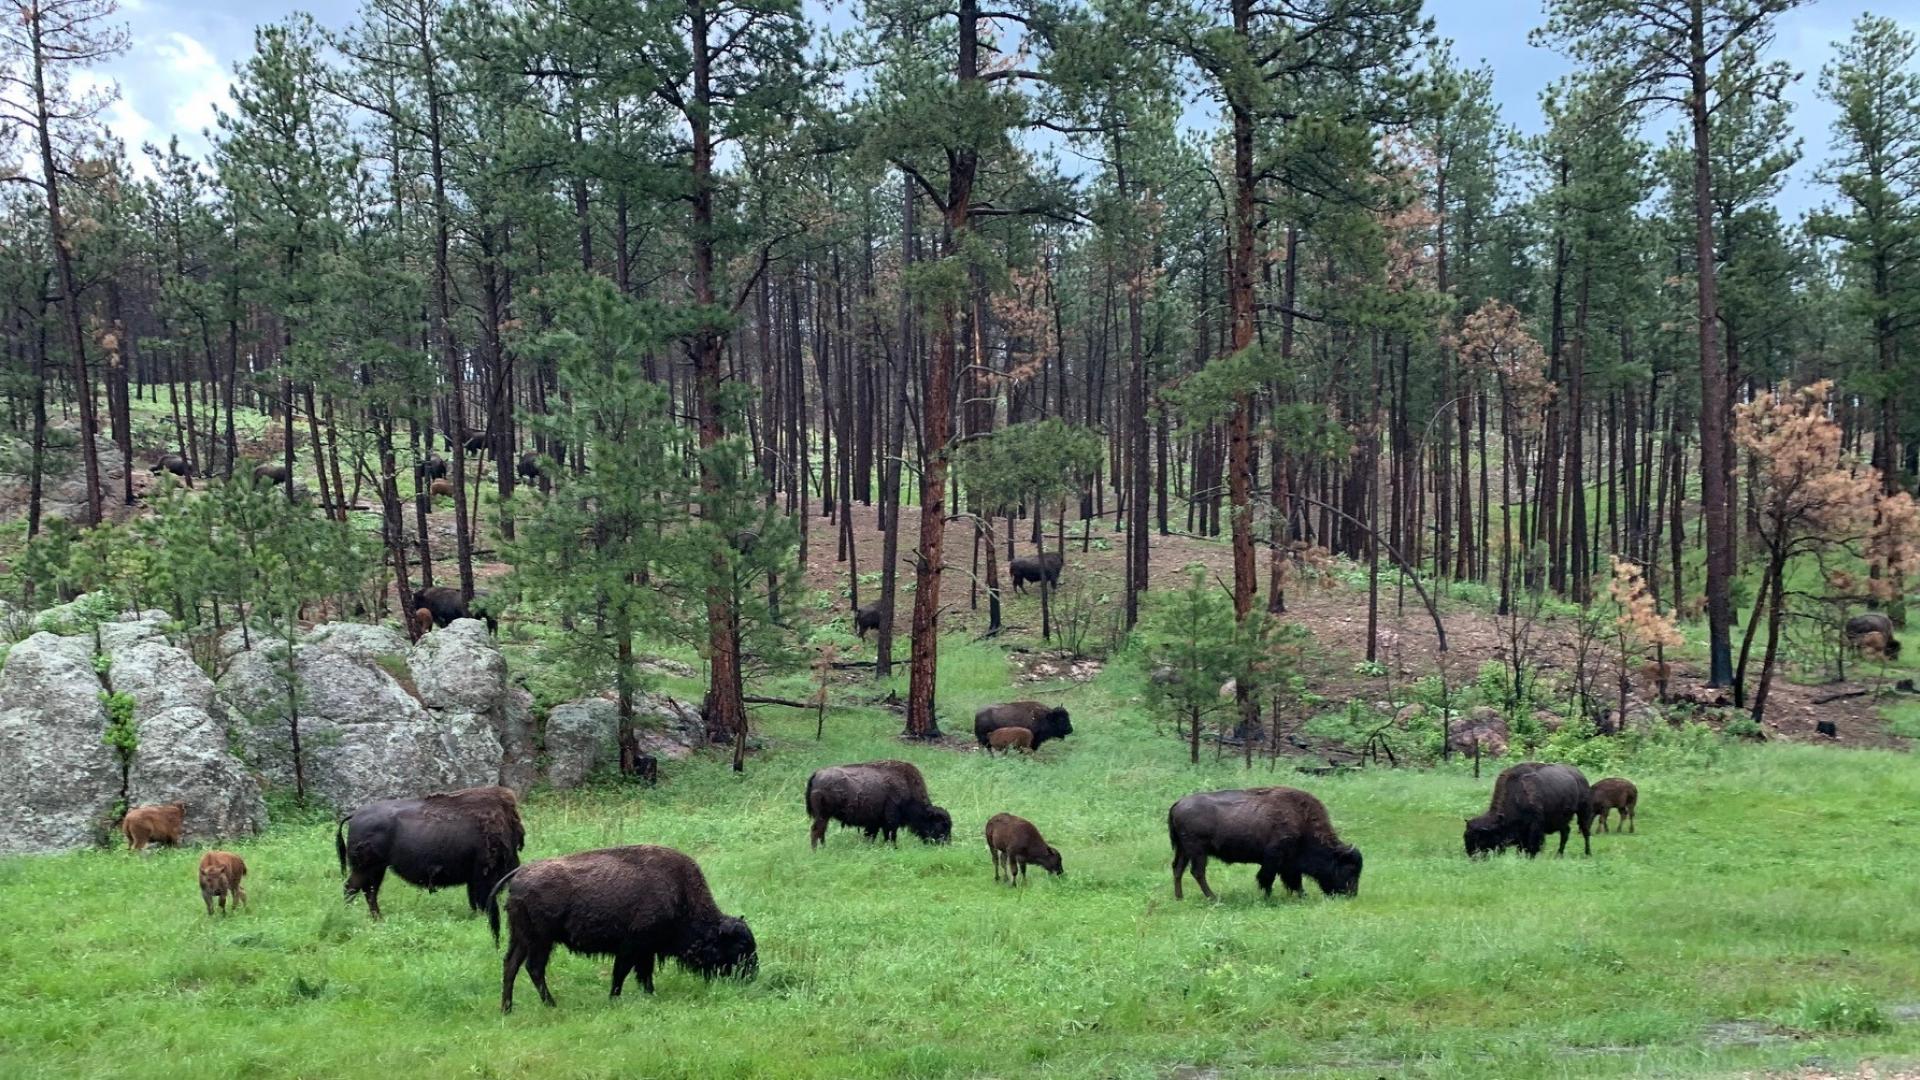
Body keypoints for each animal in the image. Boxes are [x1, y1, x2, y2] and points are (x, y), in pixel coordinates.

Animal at [334, 780, 522, 914]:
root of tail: (355, 815)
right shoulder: (482, 874)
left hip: (377, 869)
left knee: (369, 892)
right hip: (365, 869)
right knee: (352, 888)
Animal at [487, 845, 756, 1014]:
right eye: (742, 945)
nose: (751, 975)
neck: (680, 895)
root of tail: (519, 875)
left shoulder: (645, 951)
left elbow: (643, 975)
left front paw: (650, 994)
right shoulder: (632, 948)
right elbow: (622, 974)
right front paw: (615, 998)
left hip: (521, 938)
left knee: (510, 965)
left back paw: (507, 1009)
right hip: (541, 941)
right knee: (533, 968)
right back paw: (551, 1004)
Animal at [806, 760, 956, 845]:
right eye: (941, 825)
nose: (946, 844)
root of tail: (817, 774)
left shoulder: (874, 823)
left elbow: (871, 836)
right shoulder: (890, 821)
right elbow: (890, 835)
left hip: (824, 817)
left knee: (820, 832)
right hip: (823, 816)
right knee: (816, 831)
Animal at [1159, 780, 1359, 899]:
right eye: (1349, 869)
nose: (1351, 895)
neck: (1302, 820)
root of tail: (1178, 804)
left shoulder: (1287, 864)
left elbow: (1293, 880)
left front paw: (1301, 895)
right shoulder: (1275, 858)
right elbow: (1268, 878)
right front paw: (1269, 896)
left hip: (1184, 850)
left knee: (1178, 869)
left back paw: (1180, 897)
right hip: (1198, 851)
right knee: (1197, 872)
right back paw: (1213, 897)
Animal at [1459, 757, 1597, 857]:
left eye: (1480, 839)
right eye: (1465, 836)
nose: (1472, 856)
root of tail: (1580, 775)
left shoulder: (1535, 826)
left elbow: (1532, 844)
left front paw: (1530, 856)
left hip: (1583, 811)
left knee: (1585, 832)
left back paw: (1588, 853)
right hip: (1562, 819)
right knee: (1565, 833)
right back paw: (1559, 854)